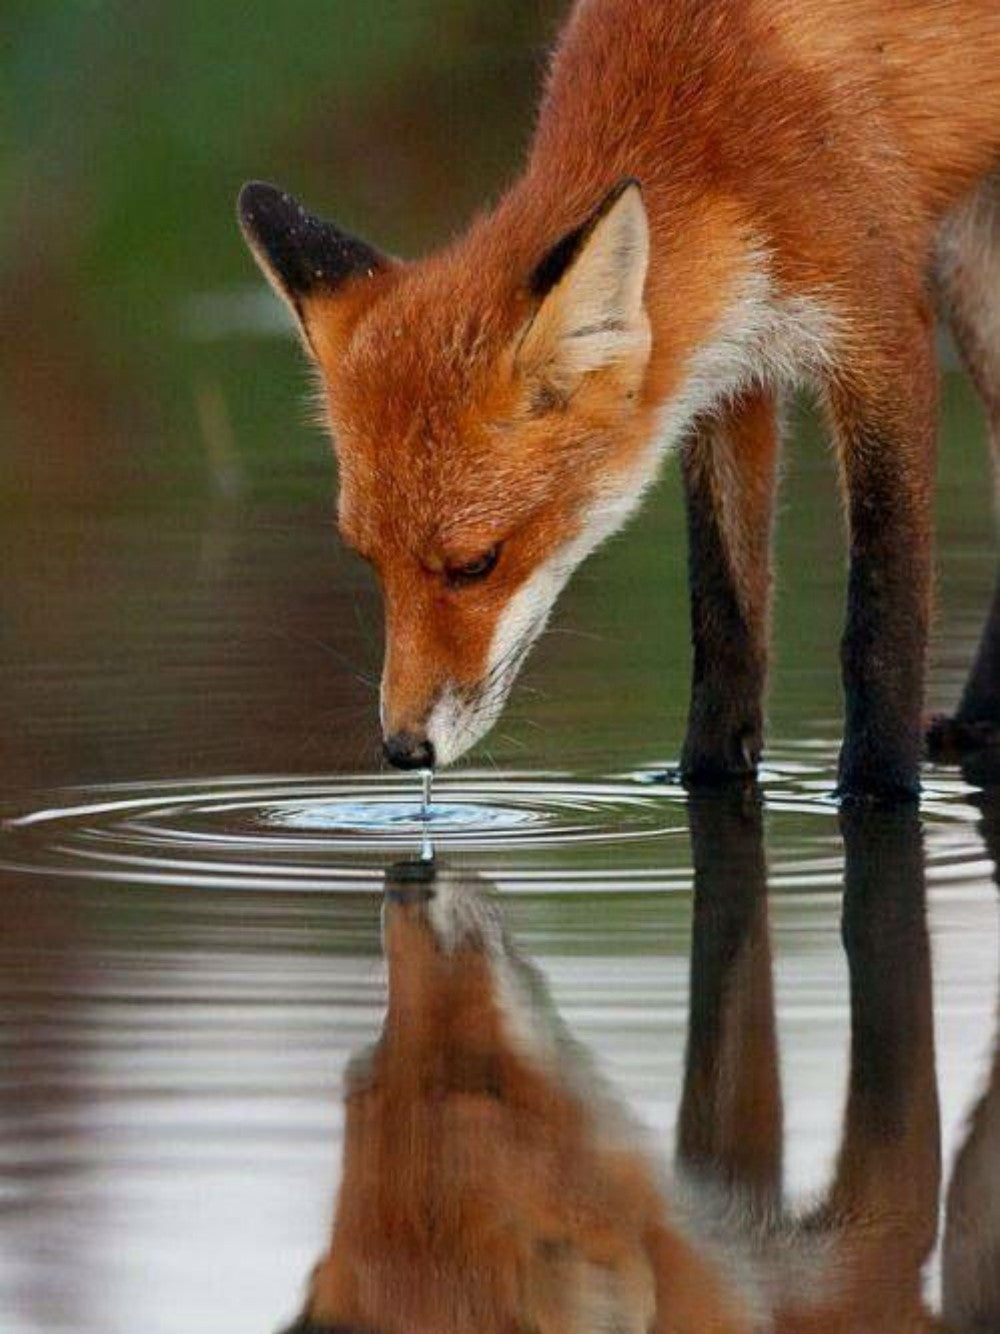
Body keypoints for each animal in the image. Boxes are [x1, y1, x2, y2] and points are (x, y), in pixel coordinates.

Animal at [238, 0, 1000, 801]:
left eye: (476, 564)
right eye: (368, 560)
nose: (405, 750)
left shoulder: (880, 334)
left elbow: (881, 625)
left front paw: (878, 787)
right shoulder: (726, 373)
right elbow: (725, 620)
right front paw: (704, 773)